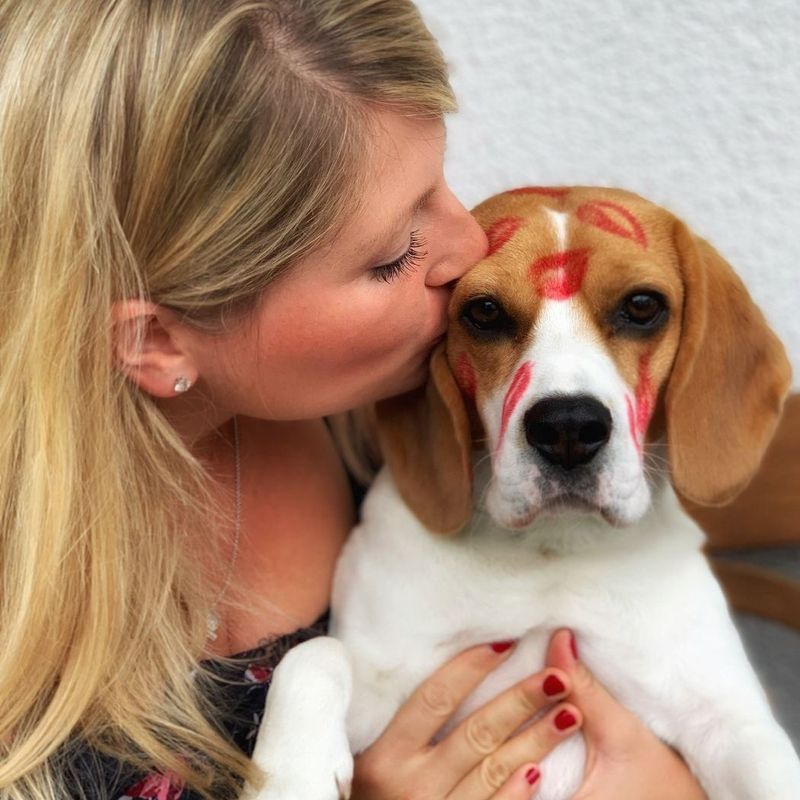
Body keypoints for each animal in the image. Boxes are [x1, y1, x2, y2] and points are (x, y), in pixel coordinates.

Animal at [247, 189, 800, 800]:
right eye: (485, 312)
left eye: (641, 305)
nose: (568, 427)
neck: (551, 546)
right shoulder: (380, 688)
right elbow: (313, 655)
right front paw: (290, 774)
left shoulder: (726, 720)